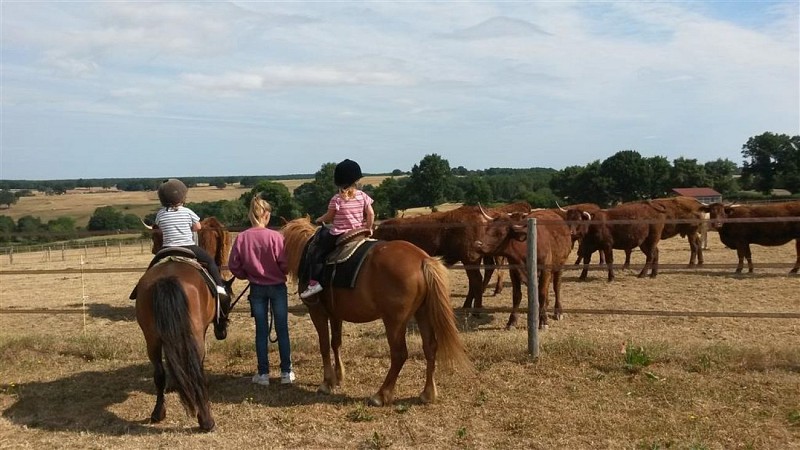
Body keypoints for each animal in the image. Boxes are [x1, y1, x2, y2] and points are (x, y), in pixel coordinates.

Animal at [134, 218, 234, 432]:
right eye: (228, 302)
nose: (222, 333)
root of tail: (167, 278)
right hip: (193, 334)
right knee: (196, 370)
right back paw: (206, 420)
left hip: (151, 338)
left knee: (159, 373)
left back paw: (158, 413)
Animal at [281, 217, 471, 406]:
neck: (307, 251)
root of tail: (422, 259)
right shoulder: (336, 315)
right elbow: (336, 343)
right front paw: (339, 377)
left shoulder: (317, 312)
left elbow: (324, 346)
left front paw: (327, 383)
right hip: (422, 313)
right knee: (430, 347)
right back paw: (428, 393)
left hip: (395, 321)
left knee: (399, 354)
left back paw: (381, 395)